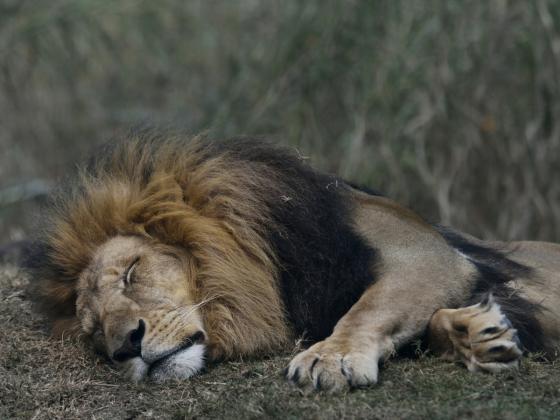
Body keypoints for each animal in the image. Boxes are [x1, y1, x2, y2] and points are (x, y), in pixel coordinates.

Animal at [26, 131, 560, 390]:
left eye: (132, 272)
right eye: (95, 331)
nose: (126, 347)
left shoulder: (423, 252)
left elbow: (369, 307)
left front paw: (332, 355)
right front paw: (479, 336)